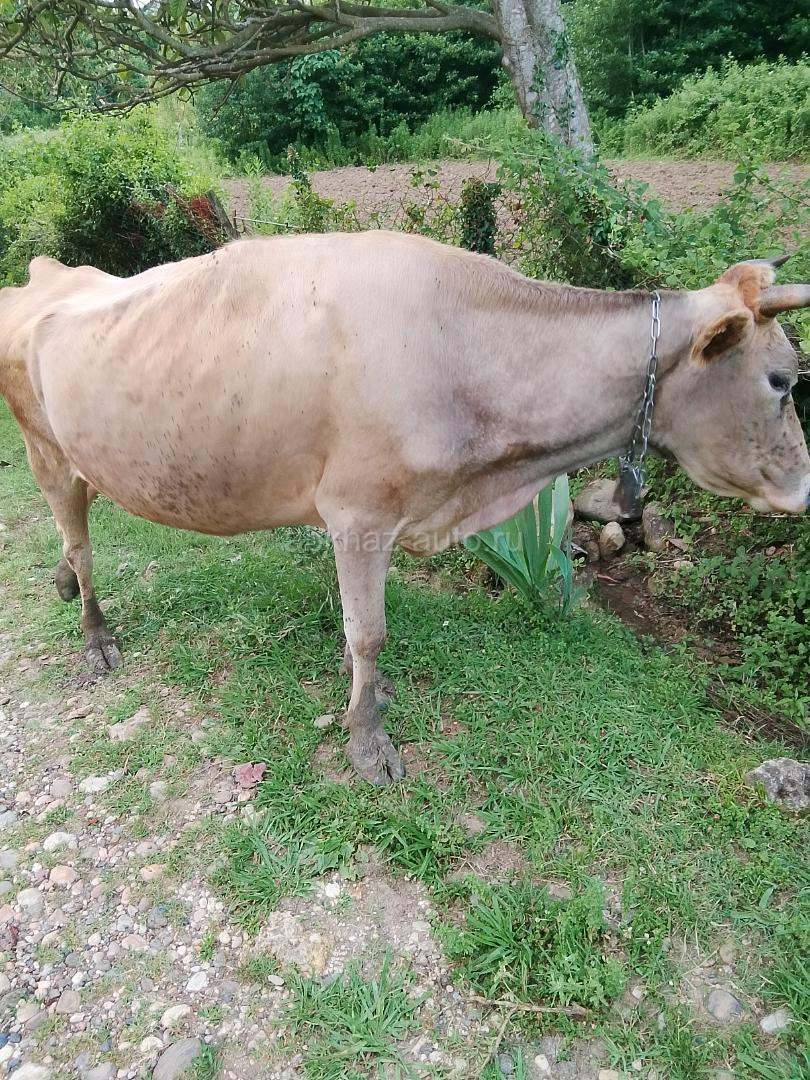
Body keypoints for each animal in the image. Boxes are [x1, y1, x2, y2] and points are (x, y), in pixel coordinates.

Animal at [0, 233, 808, 784]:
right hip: (44, 449)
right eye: (781, 380)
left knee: (73, 534)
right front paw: (368, 738)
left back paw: (64, 587)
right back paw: (95, 634)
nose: (802, 488)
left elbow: (363, 629)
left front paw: (371, 698)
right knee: (80, 541)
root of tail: (47, 275)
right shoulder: (358, 514)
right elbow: (369, 633)